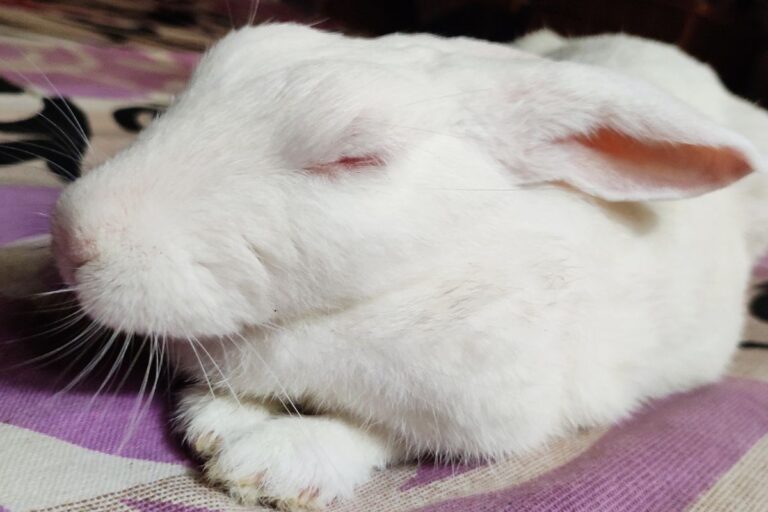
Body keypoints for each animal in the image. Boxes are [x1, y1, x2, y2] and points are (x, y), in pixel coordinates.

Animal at [50, 24, 768, 509]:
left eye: (354, 158)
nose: (70, 236)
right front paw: (217, 421)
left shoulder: (487, 409)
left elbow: (381, 431)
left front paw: (273, 465)